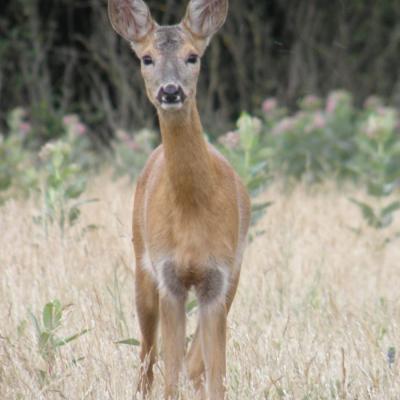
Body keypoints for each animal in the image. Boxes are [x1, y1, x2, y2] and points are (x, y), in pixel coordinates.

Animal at [106, 1, 250, 398]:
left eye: (192, 56)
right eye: (147, 58)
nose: (170, 91)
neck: (191, 210)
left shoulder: (218, 276)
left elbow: (215, 373)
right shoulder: (168, 276)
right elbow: (169, 372)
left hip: (234, 274)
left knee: (193, 361)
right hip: (142, 265)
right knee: (147, 356)